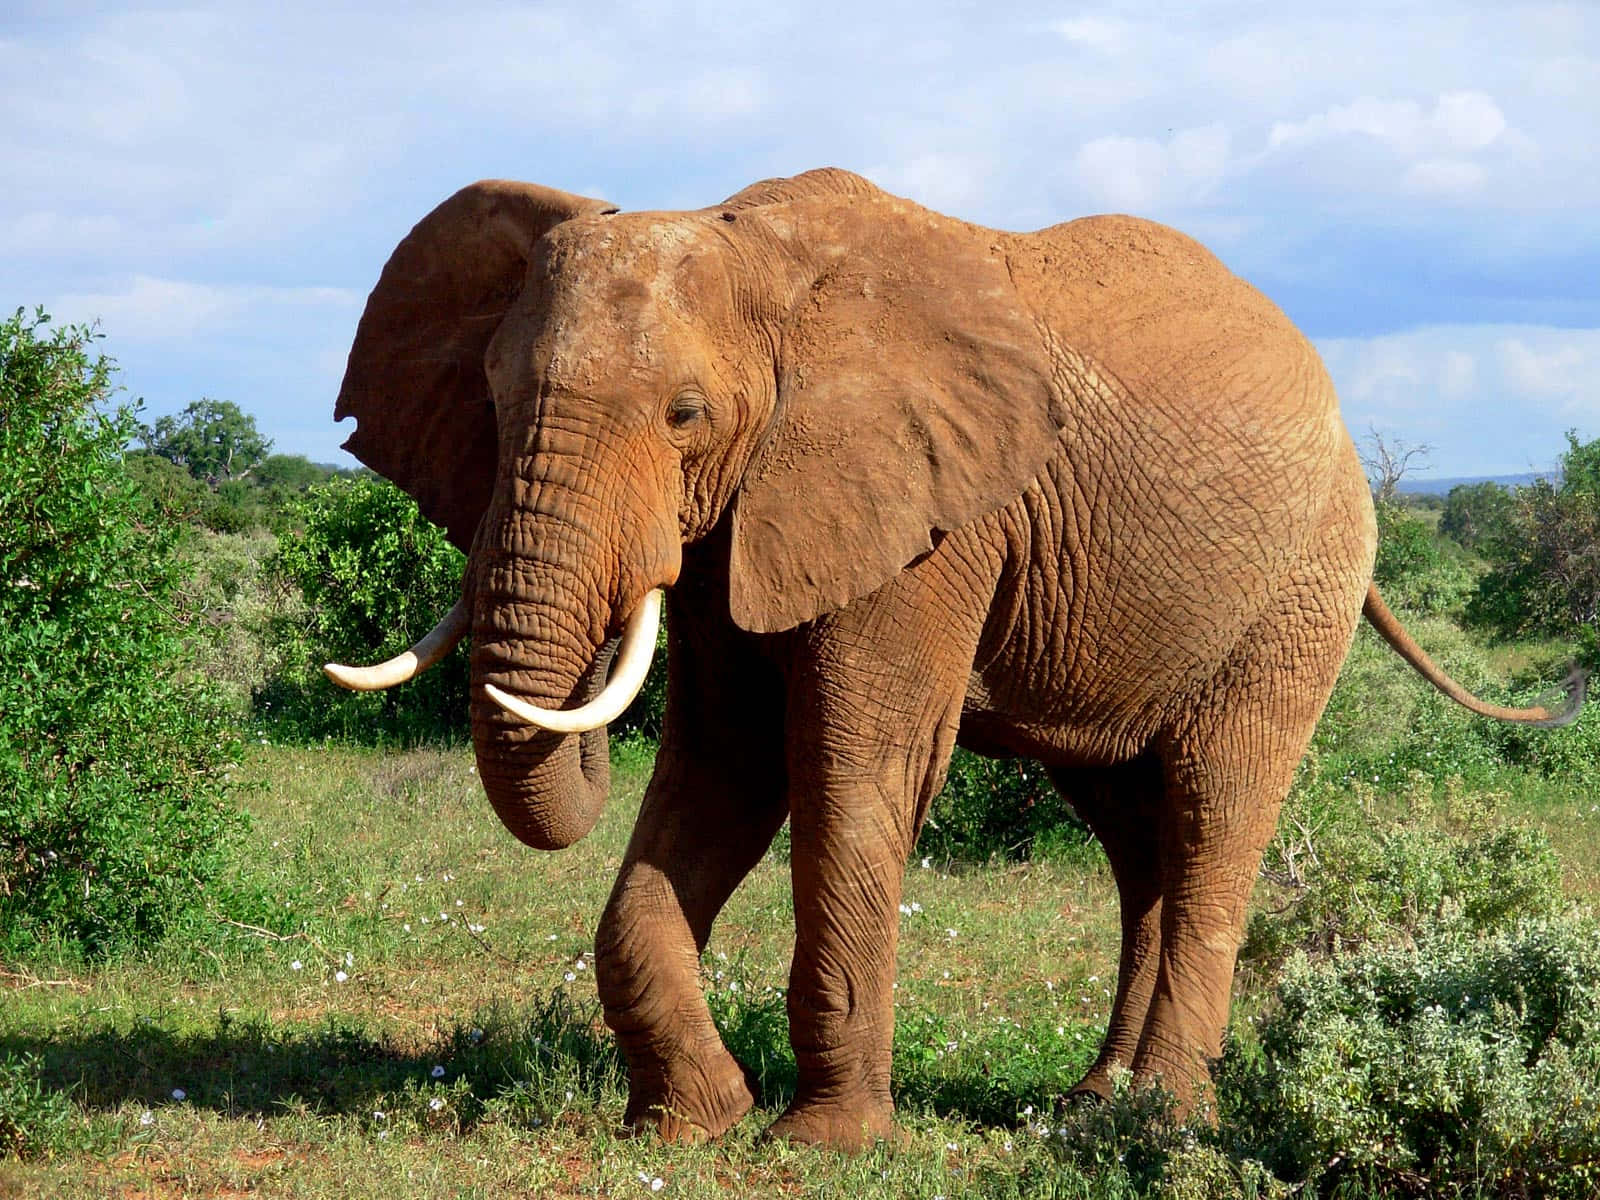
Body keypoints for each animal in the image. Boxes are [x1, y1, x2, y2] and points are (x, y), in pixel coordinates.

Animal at [324, 168, 1583, 1148]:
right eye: (491, 398)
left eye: (685, 415)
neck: (756, 249)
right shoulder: (758, 512)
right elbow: (724, 762)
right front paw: (693, 1125)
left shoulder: (927, 519)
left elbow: (852, 763)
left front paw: (822, 1145)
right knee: (1135, 834)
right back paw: (1093, 1106)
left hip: (1297, 586)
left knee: (1214, 805)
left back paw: (1164, 1123)